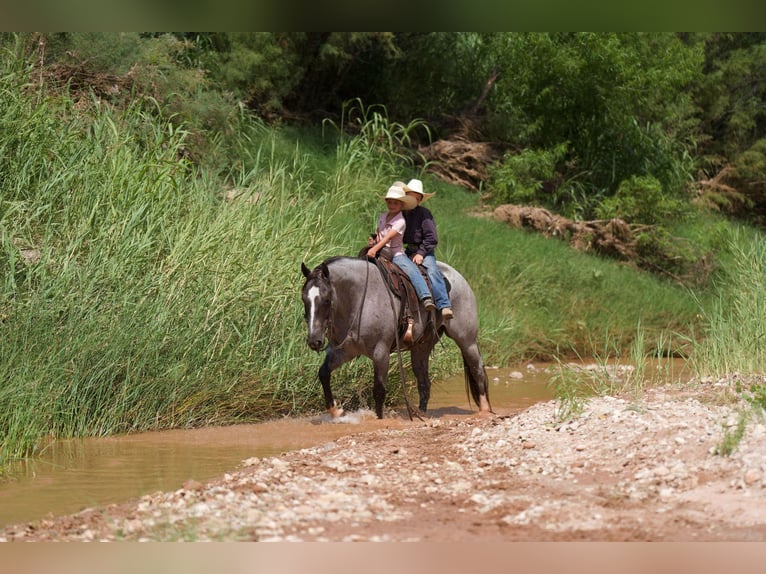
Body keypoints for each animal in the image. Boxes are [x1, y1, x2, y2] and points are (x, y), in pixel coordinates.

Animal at [300, 256, 492, 419]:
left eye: (326, 299)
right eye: (304, 299)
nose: (314, 341)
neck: (360, 298)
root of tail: (459, 278)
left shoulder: (381, 353)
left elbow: (379, 390)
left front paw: (378, 419)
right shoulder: (344, 351)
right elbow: (323, 373)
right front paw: (336, 411)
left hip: (467, 341)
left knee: (478, 371)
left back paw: (484, 410)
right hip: (421, 348)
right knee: (424, 383)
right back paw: (421, 414)